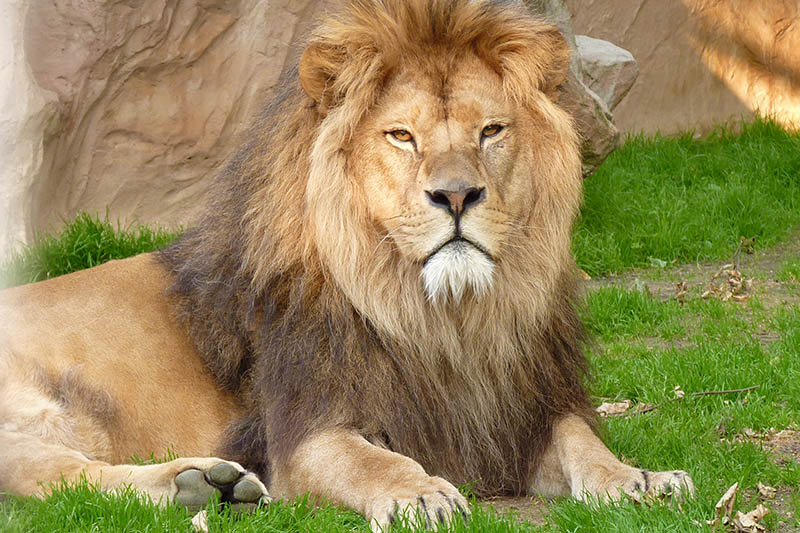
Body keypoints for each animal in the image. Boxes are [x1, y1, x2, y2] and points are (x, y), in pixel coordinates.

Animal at [0, 1, 692, 528]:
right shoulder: (305, 433)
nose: (457, 196)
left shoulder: (518, 414)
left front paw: (639, 479)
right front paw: (422, 492)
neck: (442, 318)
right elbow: (373, 460)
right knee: (50, 472)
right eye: (402, 136)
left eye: (492, 131)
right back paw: (196, 485)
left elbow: (583, 440)